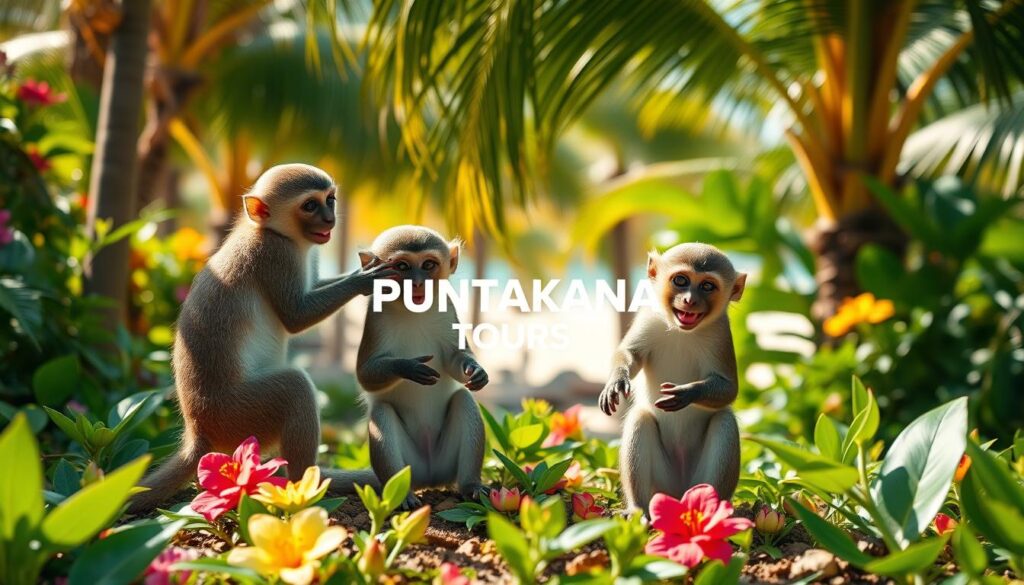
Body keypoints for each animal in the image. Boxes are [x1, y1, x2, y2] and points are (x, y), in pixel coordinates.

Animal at [129, 164, 398, 513]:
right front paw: (366, 280)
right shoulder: (275, 255)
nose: (330, 219)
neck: (266, 231)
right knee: (295, 387)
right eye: (310, 205)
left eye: (330, 199)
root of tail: (199, 430)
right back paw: (305, 487)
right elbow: (296, 317)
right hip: (239, 416)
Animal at [355, 225, 489, 508]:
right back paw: (402, 496)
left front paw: (476, 370)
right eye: (402, 266)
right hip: (410, 467)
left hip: (445, 463)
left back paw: (471, 485)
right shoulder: (375, 319)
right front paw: (408, 367)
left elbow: (453, 358)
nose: (417, 283)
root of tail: (429, 478)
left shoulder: (447, 310)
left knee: (464, 399)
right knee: (382, 411)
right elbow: (364, 376)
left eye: (428, 265)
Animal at [598, 242, 746, 515]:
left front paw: (687, 393)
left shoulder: (720, 333)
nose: (689, 300)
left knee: (724, 420)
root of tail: (679, 493)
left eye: (707, 286)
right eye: (681, 280)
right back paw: (637, 508)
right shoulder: (649, 318)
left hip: (697, 479)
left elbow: (730, 389)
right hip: (661, 483)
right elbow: (630, 354)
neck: (681, 330)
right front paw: (617, 380)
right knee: (640, 418)